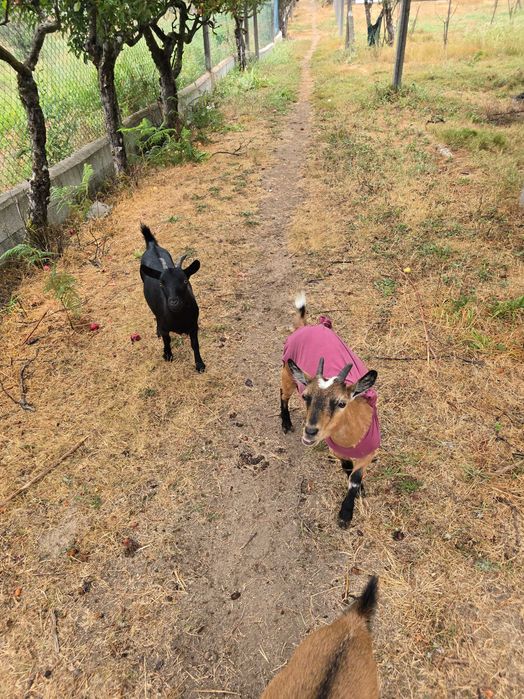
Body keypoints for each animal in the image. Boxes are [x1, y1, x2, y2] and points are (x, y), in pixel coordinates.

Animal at [139, 224, 205, 372]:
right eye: (161, 283)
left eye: (185, 281)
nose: (174, 303)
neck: (178, 317)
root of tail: (152, 246)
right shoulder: (165, 328)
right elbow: (167, 340)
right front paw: (168, 355)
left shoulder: (193, 325)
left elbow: (195, 344)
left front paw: (200, 364)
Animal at [280, 293, 380, 528]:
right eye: (306, 397)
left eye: (342, 403)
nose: (310, 432)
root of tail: (305, 326)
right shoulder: (336, 449)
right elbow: (348, 469)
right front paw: (346, 515)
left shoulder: (370, 452)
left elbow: (354, 478)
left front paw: (348, 510)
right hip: (287, 372)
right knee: (282, 394)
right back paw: (286, 423)